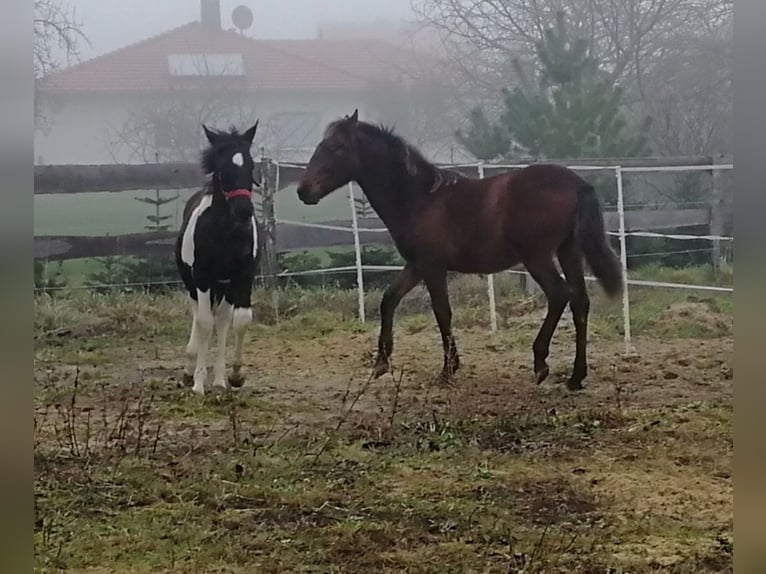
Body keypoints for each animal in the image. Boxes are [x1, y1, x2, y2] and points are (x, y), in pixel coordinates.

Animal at [177, 122, 264, 396]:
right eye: (223, 168)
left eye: (251, 165)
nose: (245, 210)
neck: (225, 232)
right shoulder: (202, 278)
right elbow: (205, 323)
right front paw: (198, 384)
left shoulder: (243, 276)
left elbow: (241, 320)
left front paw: (234, 376)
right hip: (195, 284)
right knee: (199, 316)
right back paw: (190, 368)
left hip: (224, 286)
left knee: (223, 320)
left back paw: (218, 380)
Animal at [296, 110, 628, 392]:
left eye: (336, 148)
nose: (303, 191)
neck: (418, 198)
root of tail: (577, 183)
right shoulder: (415, 266)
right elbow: (389, 300)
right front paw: (381, 364)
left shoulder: (432, 267)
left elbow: (442, 312)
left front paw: (448, 370)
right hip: (568, 251)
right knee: (580, 302)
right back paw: (575, 377)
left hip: (537, 257)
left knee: (560, 295)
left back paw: (540, 363)